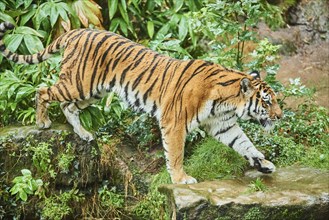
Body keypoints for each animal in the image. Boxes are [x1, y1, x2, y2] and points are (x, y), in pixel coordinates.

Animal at [0, 21, 282, 184]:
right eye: (267, 102)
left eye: (276, 101)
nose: (280, 116)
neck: (227, 102)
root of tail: (77, 30)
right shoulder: (174, 122)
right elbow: (176, 154)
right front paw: (181, 179)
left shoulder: (223, 125)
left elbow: (245, 144)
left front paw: (264, 164)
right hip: (77, 83)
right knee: (42, 90)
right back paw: (42, 122)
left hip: (92, 91)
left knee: (68, 107)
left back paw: (84, 133)